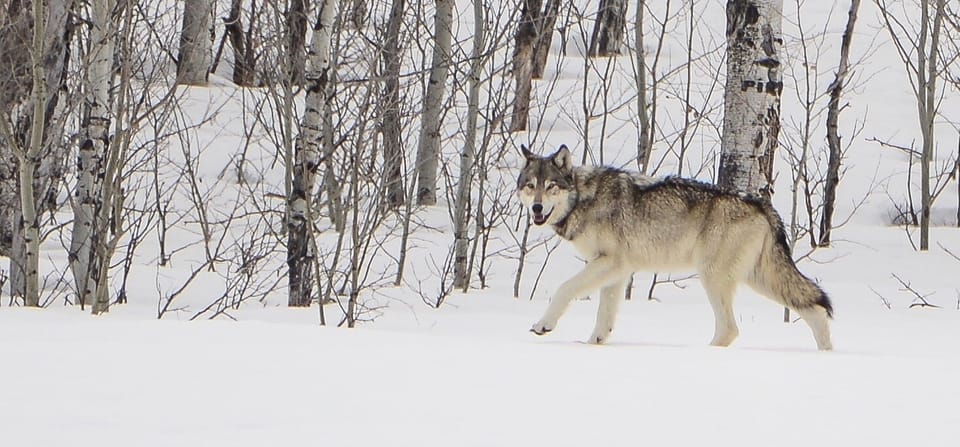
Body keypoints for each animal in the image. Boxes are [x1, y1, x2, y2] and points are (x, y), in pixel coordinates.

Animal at [516, 145, 832, 352]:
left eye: (551, 186)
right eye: (530, 186)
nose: (537, 208)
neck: (583, 198)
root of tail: (761, 204)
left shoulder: (610, 263)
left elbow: (564, 289)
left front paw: (544, 325)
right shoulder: (617, 272)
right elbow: (604, 317)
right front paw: (593, 344)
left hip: (714, 278)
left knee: (729, 329)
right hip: (759, 278)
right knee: (814, 309)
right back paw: (826, 353)